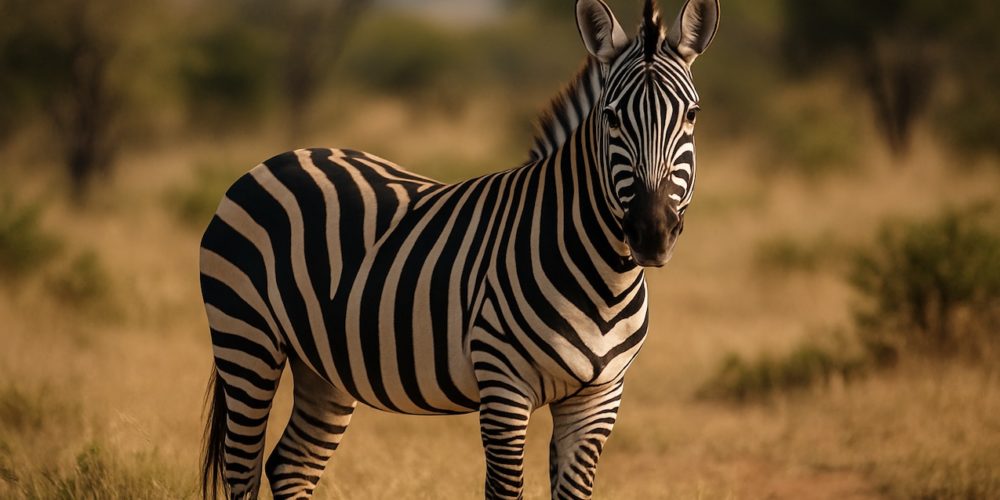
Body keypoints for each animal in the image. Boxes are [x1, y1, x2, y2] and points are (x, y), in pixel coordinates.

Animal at [199, 0, 719, 498]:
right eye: (611, 118)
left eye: (692, 115)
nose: (651, 232)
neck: (605, 278)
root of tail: (284, 157)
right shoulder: (503, 385)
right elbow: (504, 490)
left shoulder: (598, 398)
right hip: (246, 340)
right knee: (243, 470)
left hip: (321, 365)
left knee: (290, 466)